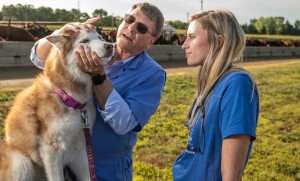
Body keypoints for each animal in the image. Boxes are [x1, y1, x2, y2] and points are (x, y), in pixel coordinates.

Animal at [0, 30, 113, 181]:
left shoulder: (80, 148)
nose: (110, 46)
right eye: (84, 41)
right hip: (22, 163)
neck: (70, 99)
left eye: (100, 38)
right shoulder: (51, 153)